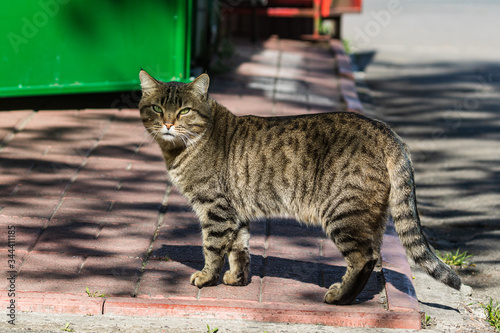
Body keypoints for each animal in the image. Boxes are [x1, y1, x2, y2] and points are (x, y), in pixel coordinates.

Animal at [137, 70, 460, 304]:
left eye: (184, 111)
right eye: (156, 108)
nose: (167, 124)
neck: (182, 149)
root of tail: (385, 129)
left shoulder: (215, 209)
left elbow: (213, 248)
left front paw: (206, 278)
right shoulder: (235, 212)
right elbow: (239, 249)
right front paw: (237, 279)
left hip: (343, 213)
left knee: (364, 258)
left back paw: (339, 297)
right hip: (371, 218)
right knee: (374, 256)